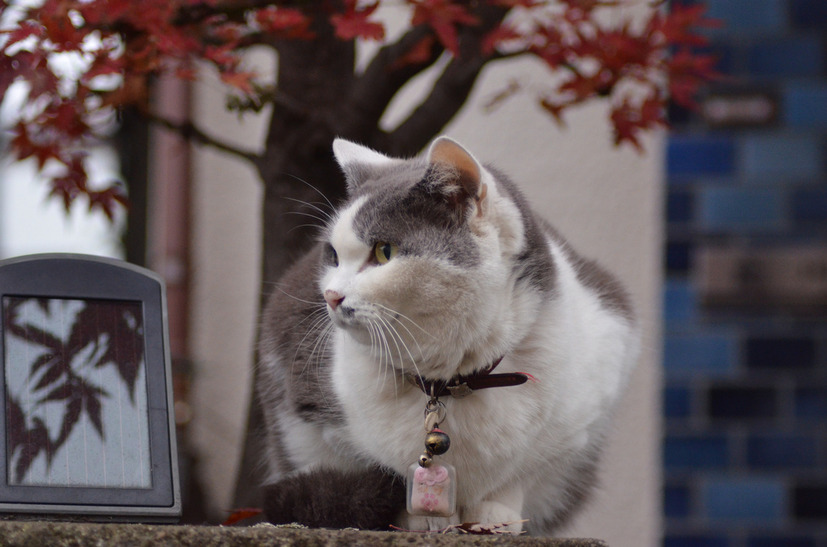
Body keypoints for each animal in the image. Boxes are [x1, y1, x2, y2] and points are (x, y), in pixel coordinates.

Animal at [258, 137, 640, 536]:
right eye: (332, 255)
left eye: (384, 251)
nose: (330, 296)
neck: (453, 380)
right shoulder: (314, 411)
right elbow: (374, 467)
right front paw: (421, 517)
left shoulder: (587, 404)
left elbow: (520, 474)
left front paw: (496, 515)